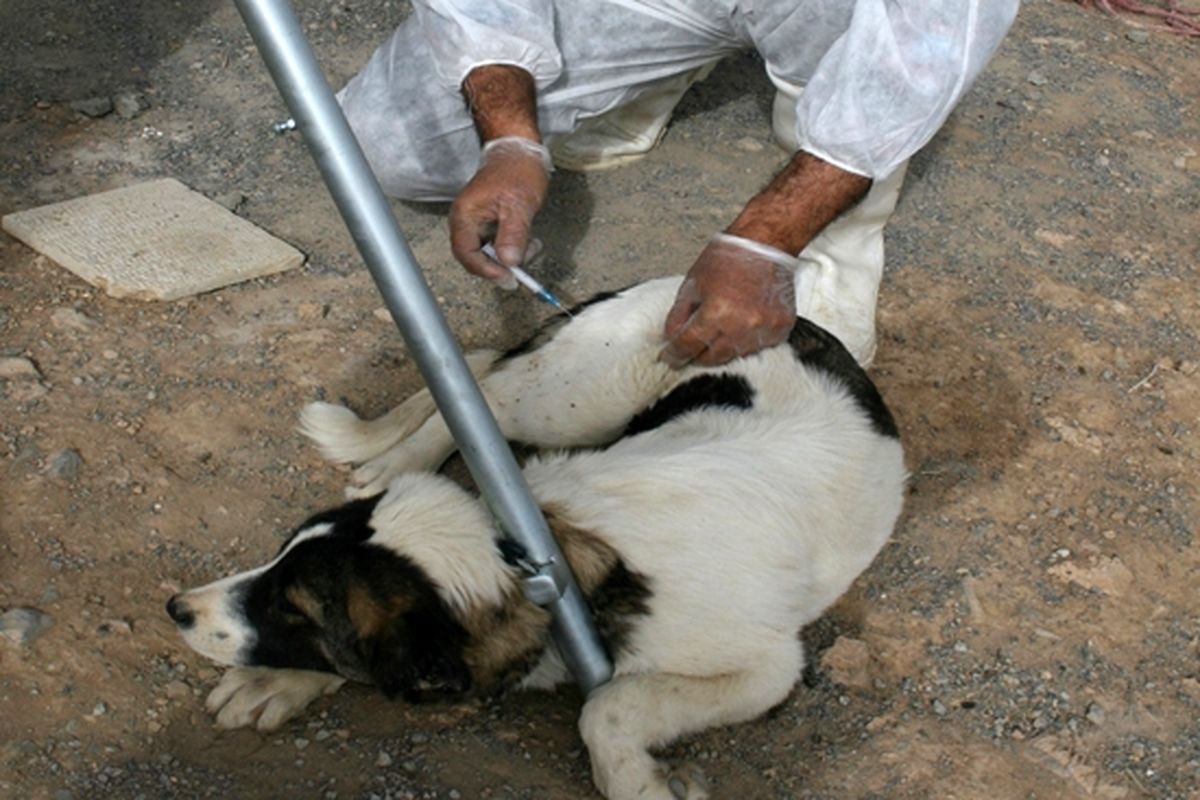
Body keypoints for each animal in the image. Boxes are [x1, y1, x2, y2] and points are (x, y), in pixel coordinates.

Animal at [164, 277, 902, 800]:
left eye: (296, 609)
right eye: (279, 560)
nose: (176, 610)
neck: (545, 557)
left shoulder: (768, 667)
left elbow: (606, 706)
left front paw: (641, 785)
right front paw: (280, 680)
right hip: (569, 399)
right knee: (481, 391)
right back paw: (396, 461)